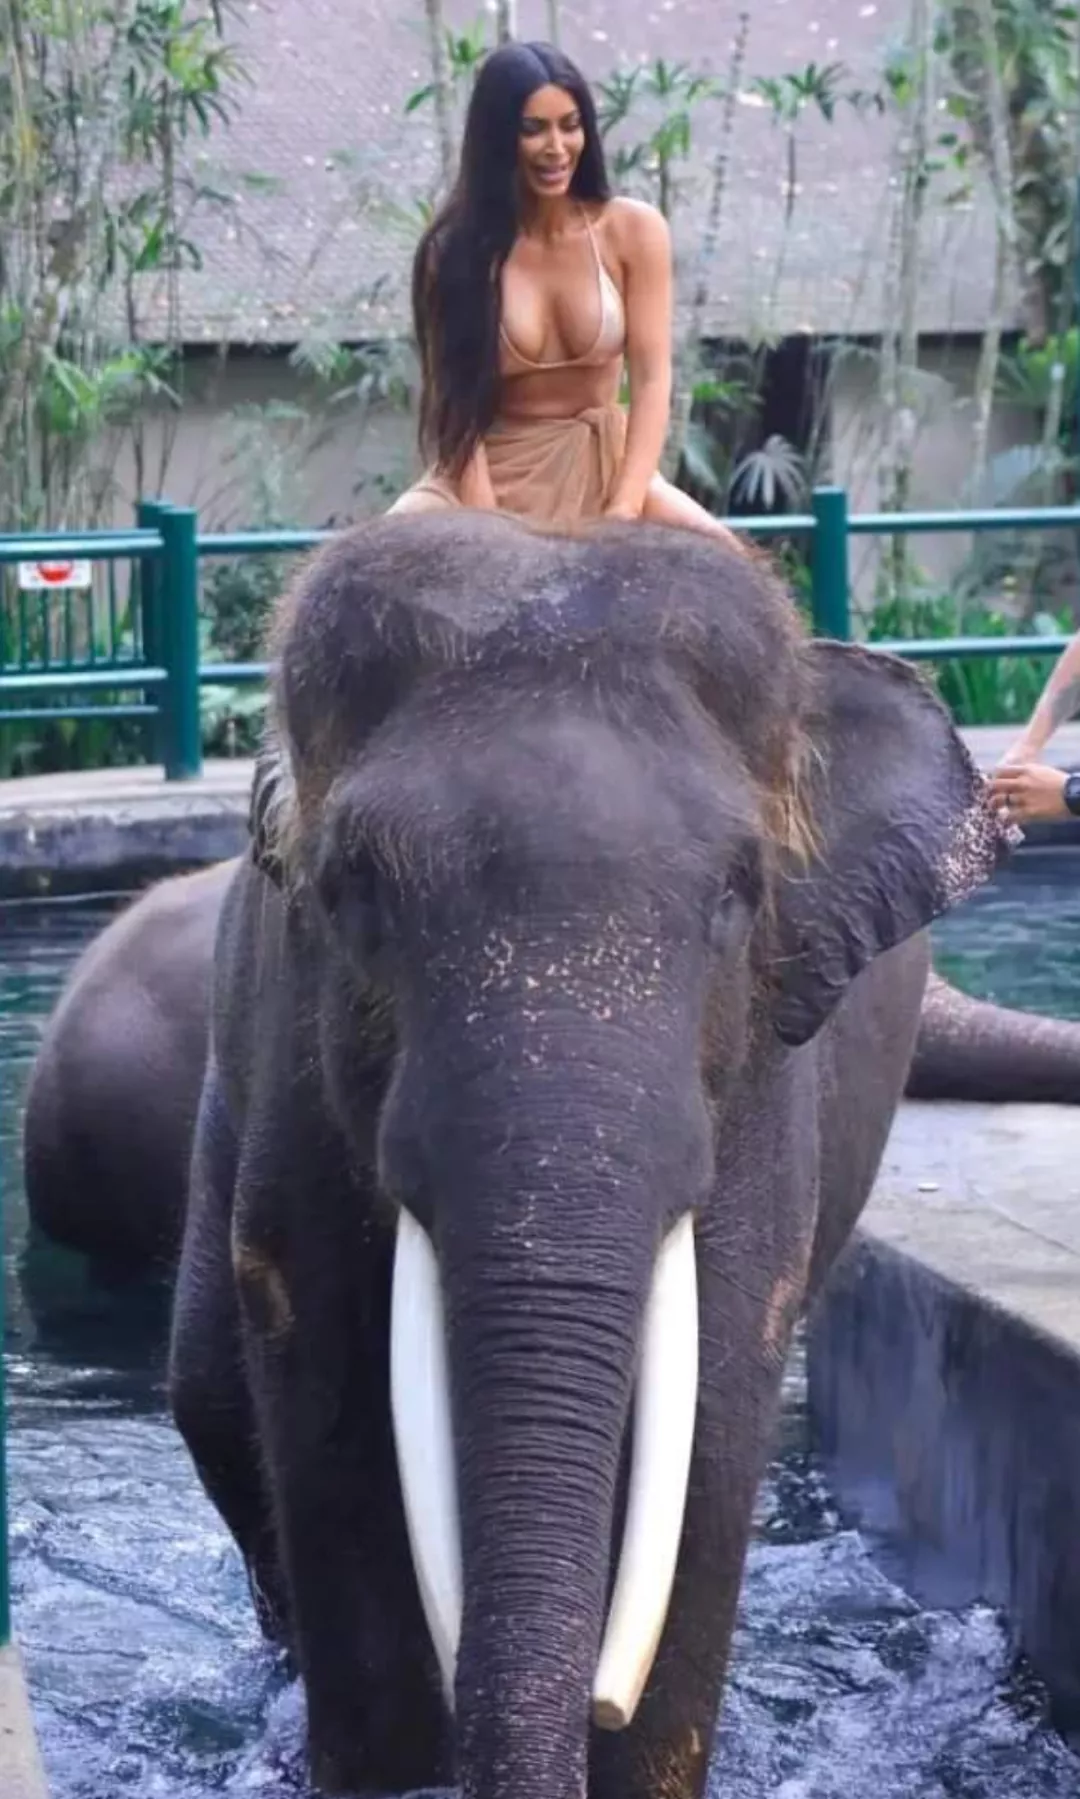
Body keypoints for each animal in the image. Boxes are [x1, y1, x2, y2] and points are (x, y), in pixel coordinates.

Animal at [166, 507, 1016, 1799]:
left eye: (738, 892)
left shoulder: (761, 1089)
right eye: (355, 888)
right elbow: (323, 1384)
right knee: (213, 1395)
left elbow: (715, 1395)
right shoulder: (292, 1058)